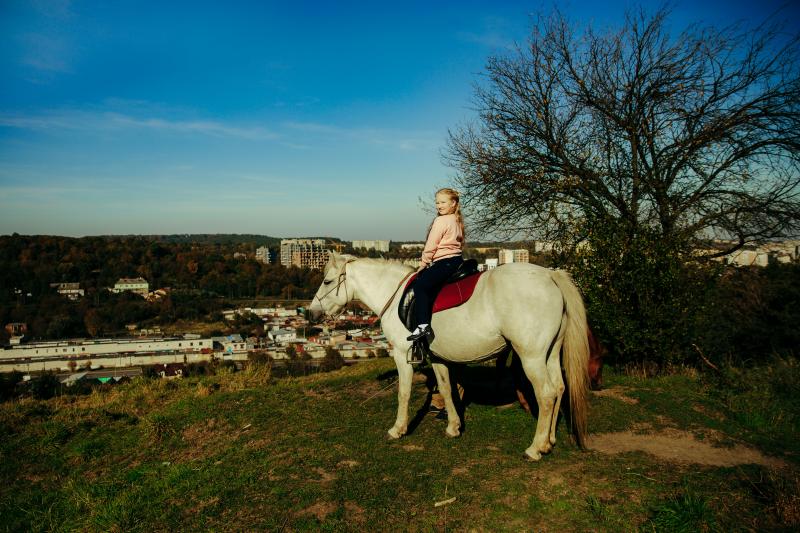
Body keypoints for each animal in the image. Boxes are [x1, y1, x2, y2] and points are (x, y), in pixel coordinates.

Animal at [308, 253, 590, 460]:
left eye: (328, 281)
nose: (311, 313)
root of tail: (550, 275)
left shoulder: (401, 354)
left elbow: (404, 392)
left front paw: (398, 429)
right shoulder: (437, 357)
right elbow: (445, 389)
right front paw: (453, 427)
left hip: (531, 357)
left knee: (546, 394)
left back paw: (535, 448)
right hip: (550, 353)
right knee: (560, 388)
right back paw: (549, 441)